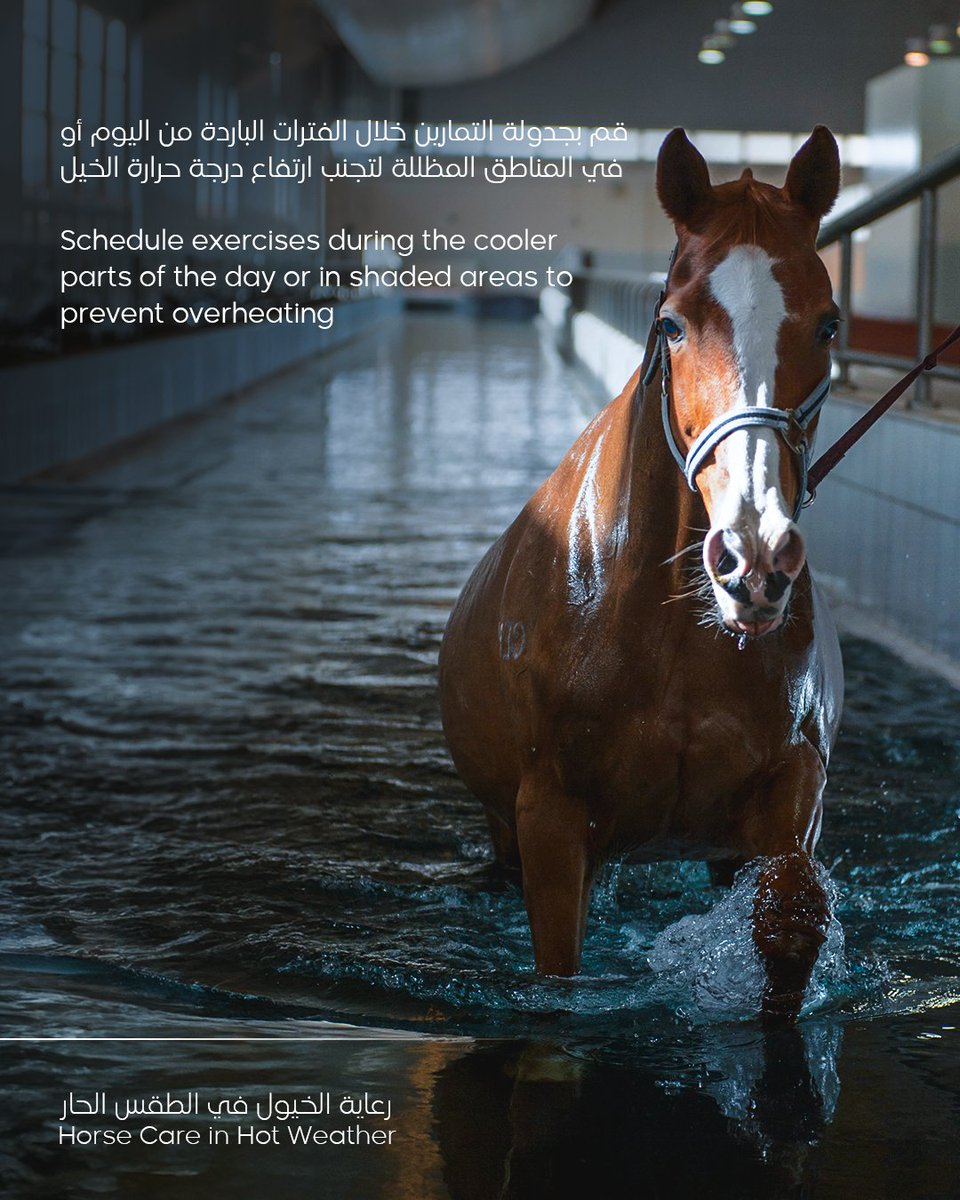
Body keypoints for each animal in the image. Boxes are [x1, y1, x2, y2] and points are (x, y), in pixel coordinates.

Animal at [439, 127, 844, 1019]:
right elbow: (558, 975)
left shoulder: (789, 787)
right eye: (672, 324)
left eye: (831, 325)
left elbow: (789, 923)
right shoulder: (550, 819)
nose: (753, 556)